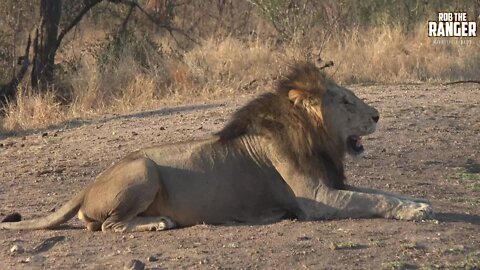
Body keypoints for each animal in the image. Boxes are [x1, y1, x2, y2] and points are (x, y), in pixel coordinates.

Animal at [0, 61, 434, 232]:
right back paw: (159, 222)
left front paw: (421, 203)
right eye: (345, 101)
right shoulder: (316, 200)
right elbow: (373, 200)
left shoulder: (333, 185)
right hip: (143, 168)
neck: (317, 139)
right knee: (108, 225)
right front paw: (416, 213)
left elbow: (381, 192)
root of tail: (87, 184)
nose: (377, 115)